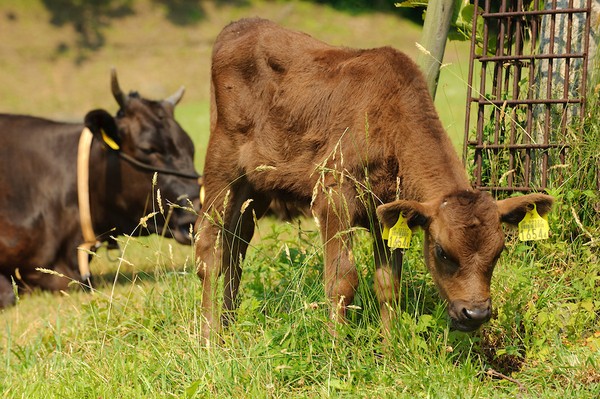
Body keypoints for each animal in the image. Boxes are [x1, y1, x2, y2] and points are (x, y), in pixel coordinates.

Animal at [197, 18, 552, 342]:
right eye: (442, 252)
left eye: (498, 252)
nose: (475, 313)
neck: (390, 120)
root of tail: (240, 25)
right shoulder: (332, 197)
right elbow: (342, 280)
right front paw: (336, 346)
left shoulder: (388, 211)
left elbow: (388, 284)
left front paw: (391, 347)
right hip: (221, 161)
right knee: (210, 248)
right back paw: (209, 338)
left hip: (256, 186)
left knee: (236, 244)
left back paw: (228, 326)